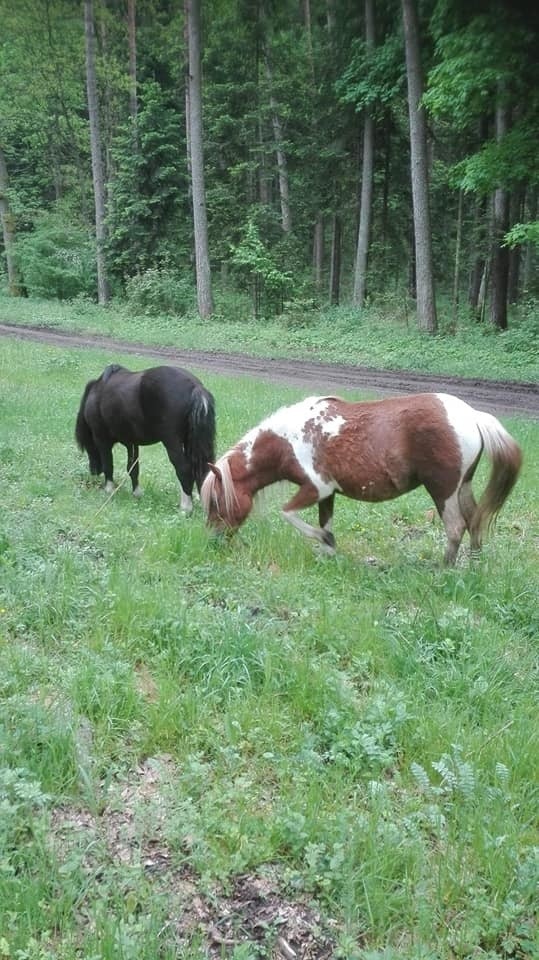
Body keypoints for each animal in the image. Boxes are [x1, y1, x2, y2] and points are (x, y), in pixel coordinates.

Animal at [74, 364, 217, 512]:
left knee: (184, 469)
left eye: (87, 445)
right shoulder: (132, 443)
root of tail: (195, 387)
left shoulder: (102, 439)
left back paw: (186, 507)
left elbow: (109, 464)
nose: (94, 471)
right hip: (190, 442)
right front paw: (136, 494)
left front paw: (109, 489)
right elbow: (133, 468)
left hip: (172, 442)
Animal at [201, 394, 524, 568]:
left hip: (442, 489)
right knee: (475, 522)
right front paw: (328, 553)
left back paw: (444, 570)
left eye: (216, 501)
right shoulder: (327, 494)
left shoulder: (316, 488)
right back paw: (473, 567)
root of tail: (473, 416)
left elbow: (289, 514)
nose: (214, 541)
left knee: (456, 527)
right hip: (462, 487)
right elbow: (325, 522)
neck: (288, 440)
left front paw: (325, 542)